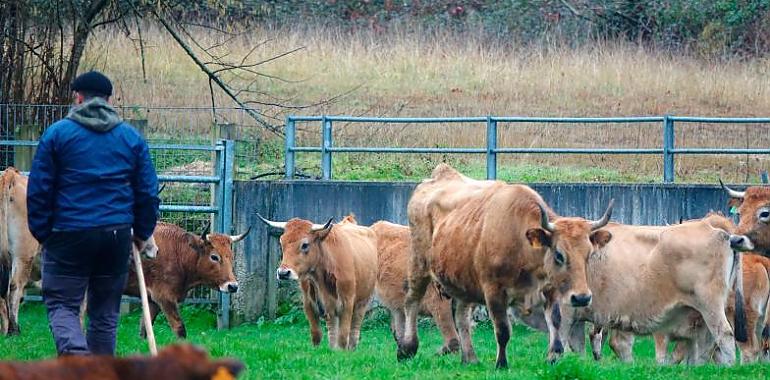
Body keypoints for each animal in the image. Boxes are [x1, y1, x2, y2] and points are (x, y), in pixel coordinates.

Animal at [258, 214, 378, 350]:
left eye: (305, 244)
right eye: (282, 242)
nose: (283, 273)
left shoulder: (347, 303)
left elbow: (343, 336)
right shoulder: (309, 303)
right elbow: (316, 334)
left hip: (362, 302)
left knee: (354, 330)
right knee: (332, 328)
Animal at [396, 164, 612, 368]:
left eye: (589, 254)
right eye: (559, 254)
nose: (582, 298)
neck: (520, 242)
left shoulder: (550, 289)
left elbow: (556, 321)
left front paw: (554, 355)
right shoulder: (494, 291)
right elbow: (503, 330)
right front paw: (501, 364)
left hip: (463, 279)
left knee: (461, 316)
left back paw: (469, 358)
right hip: (418, 262)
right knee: (412, 301)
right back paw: (407, 347)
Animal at [560, 214, 752, 366]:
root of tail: (715, 229)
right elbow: (578, 346)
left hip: (710, 304)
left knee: (724, 335)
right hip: (701, 313)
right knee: (706, 343)